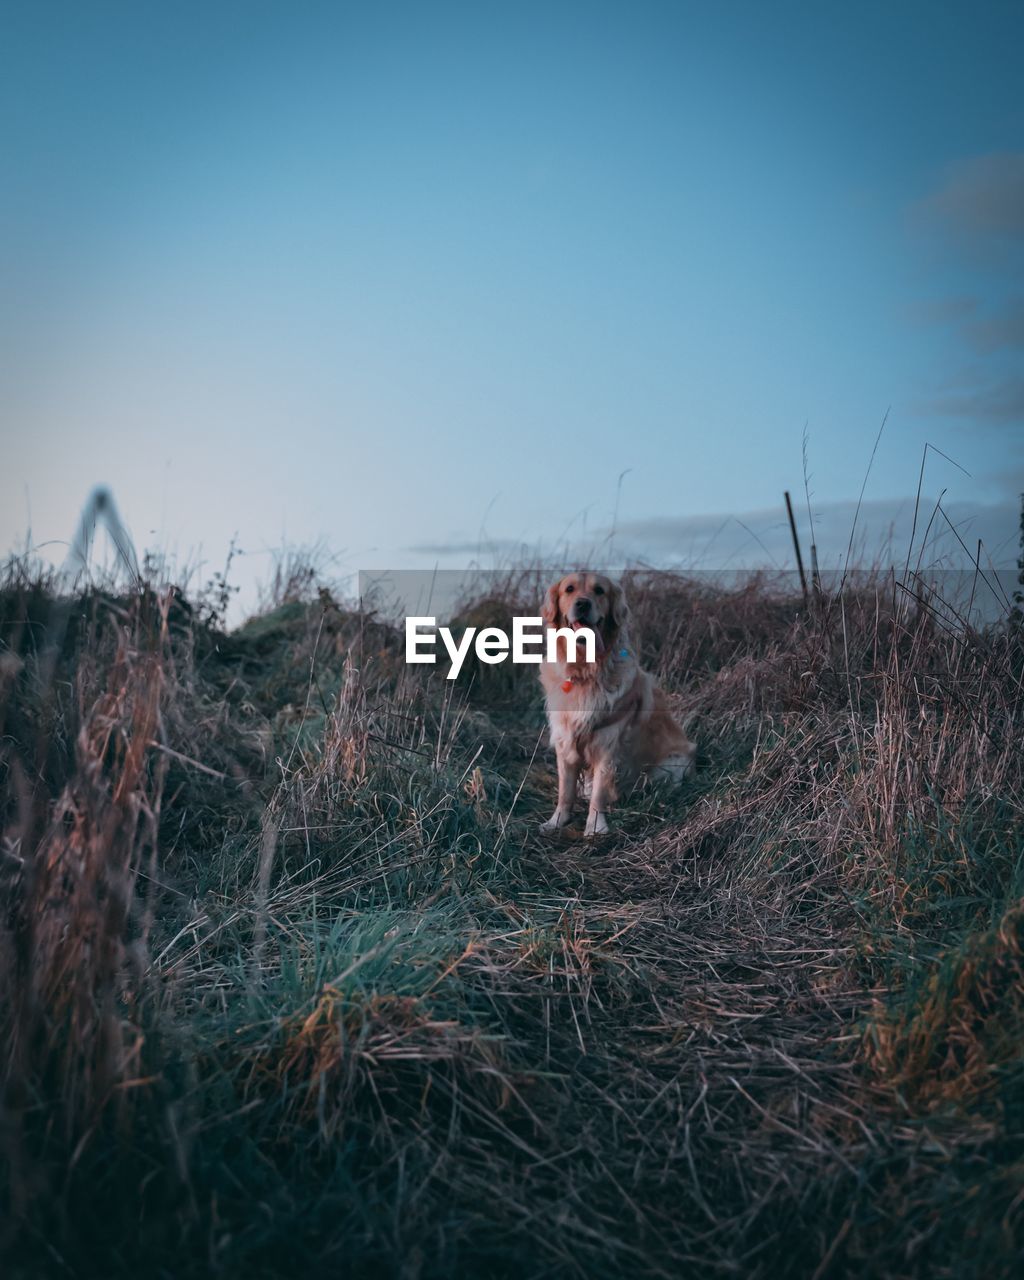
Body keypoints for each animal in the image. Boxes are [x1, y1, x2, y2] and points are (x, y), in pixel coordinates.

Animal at [535, 573, 696, 839]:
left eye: (599, 590)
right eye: (569, 589)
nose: (583, 604)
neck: (586, 673)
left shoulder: (608, 744)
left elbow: (599, 793)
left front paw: (595, 826)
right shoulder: (565, 741)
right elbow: (565, 790)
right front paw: (557, 821)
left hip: (672, 763)